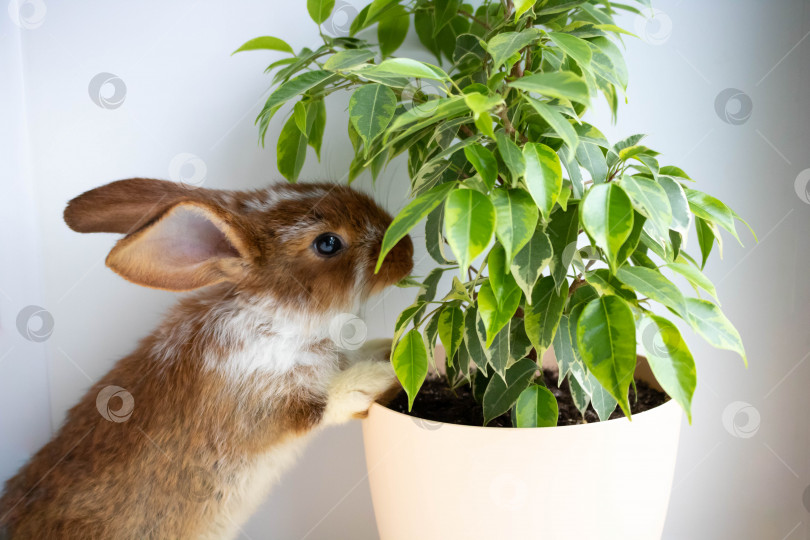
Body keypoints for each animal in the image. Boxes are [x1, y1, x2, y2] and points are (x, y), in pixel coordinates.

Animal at [0, 179, 414, 536]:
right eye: (328, 244)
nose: (407, 251)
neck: (277, 315)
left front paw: (389, 350)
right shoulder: (264, 402)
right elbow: (327, 402)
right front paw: (377, 378)